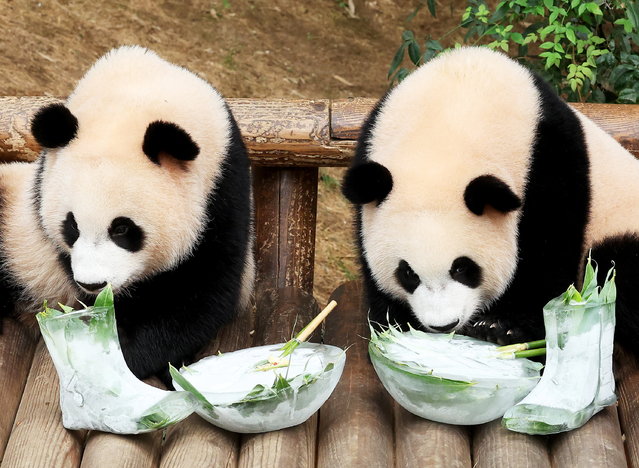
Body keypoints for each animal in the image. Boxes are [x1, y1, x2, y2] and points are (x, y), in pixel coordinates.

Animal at [0, 45, 255, 384]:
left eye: (122, 229)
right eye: (71, 226)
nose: (93, 284)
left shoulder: (222, 195)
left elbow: (199, 294)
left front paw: (124, 355)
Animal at [342, 47, 639, 352]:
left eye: (463, 268)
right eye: (408, 273)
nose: (444, 325)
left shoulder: (550, 166)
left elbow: (547, 253)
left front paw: (503, 328)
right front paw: (395, 323)